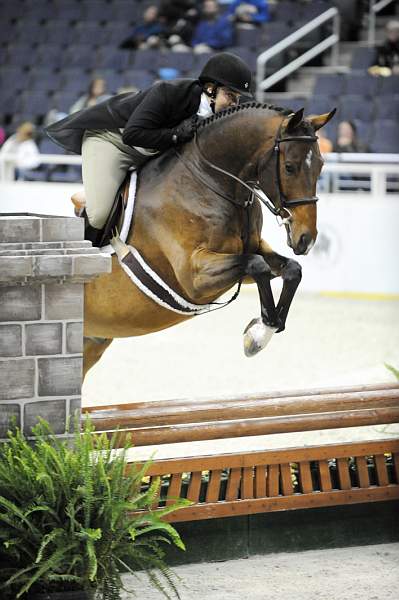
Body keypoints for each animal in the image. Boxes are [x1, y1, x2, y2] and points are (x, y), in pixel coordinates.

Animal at [83, 102, 336, 376]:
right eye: (289, 167)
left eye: (321, 165)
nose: (306, 239)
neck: (209, 180)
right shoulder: (193, 276)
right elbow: (257, 265)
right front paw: (258, 335)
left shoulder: (250, 251)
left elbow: (290, 269)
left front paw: (261, 330)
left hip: (92, 343)